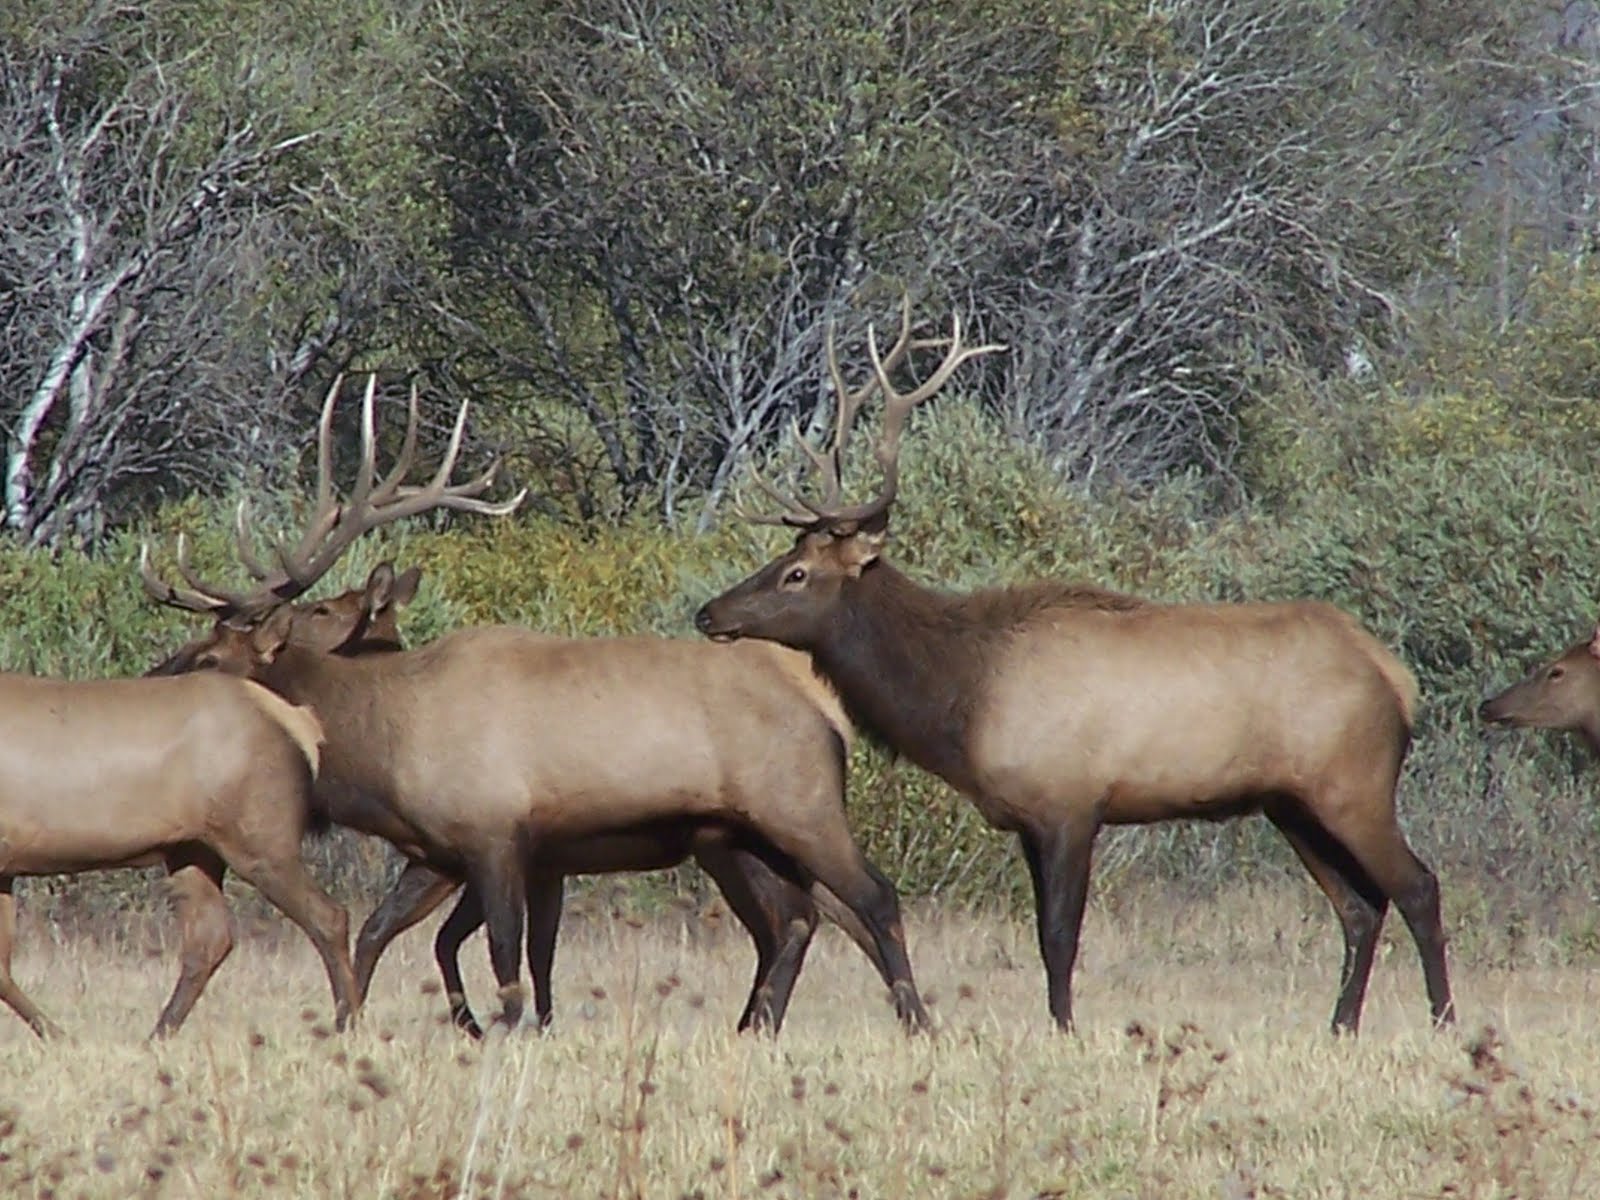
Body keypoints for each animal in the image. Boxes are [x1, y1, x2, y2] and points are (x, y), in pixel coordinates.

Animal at [0, 667, 359, 1039]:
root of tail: (302, 724)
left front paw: (59, 1036)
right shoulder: (6, 867)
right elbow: (2, 969)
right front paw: (58, 1036)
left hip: (260, 839)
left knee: (329, 916)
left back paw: (348, 1023)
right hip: (192, 849)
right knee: (210, 938)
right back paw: (157, 1035)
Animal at [142, 375, 929, 1036]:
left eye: (208, 657)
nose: (152, 675)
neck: (380, 748)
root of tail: (829, 714)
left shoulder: (495, 834)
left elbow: (506, 957)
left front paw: (502, 1031)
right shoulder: (440, 850)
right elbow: (379, 935)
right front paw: (353, 1024)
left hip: (798, 803)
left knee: (871, 898)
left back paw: (914, 1019)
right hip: (736, 835)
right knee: (796, 920)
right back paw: (762, 1025)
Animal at [694, 298, 1455, 1035]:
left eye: (795, 574)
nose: (708, 612)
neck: (962, 700)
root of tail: (1395, 677)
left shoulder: (1069, 803)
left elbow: (1058, 936)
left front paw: (1065, 1030)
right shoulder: (1031, 820)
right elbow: (1046, 935)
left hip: (1353, 783)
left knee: (1417, 886)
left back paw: (1443, 1019)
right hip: (1292, 803)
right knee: (1359, 907)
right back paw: (1341, 1026)